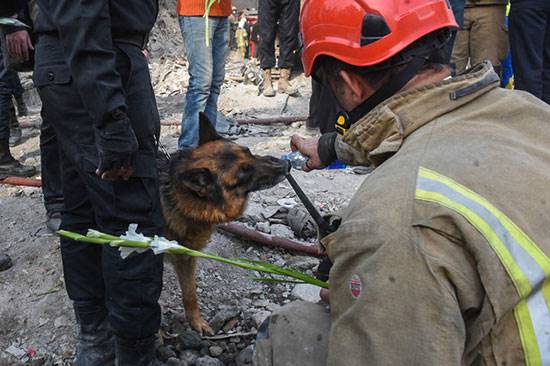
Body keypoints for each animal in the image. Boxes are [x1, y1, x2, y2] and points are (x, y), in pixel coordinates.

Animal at [160, 113, 292, 334]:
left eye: (249, 152)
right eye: (243, 173)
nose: (286, 166)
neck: (180, 197)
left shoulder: (186, 258)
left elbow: (190, 293)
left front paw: (196, 322)